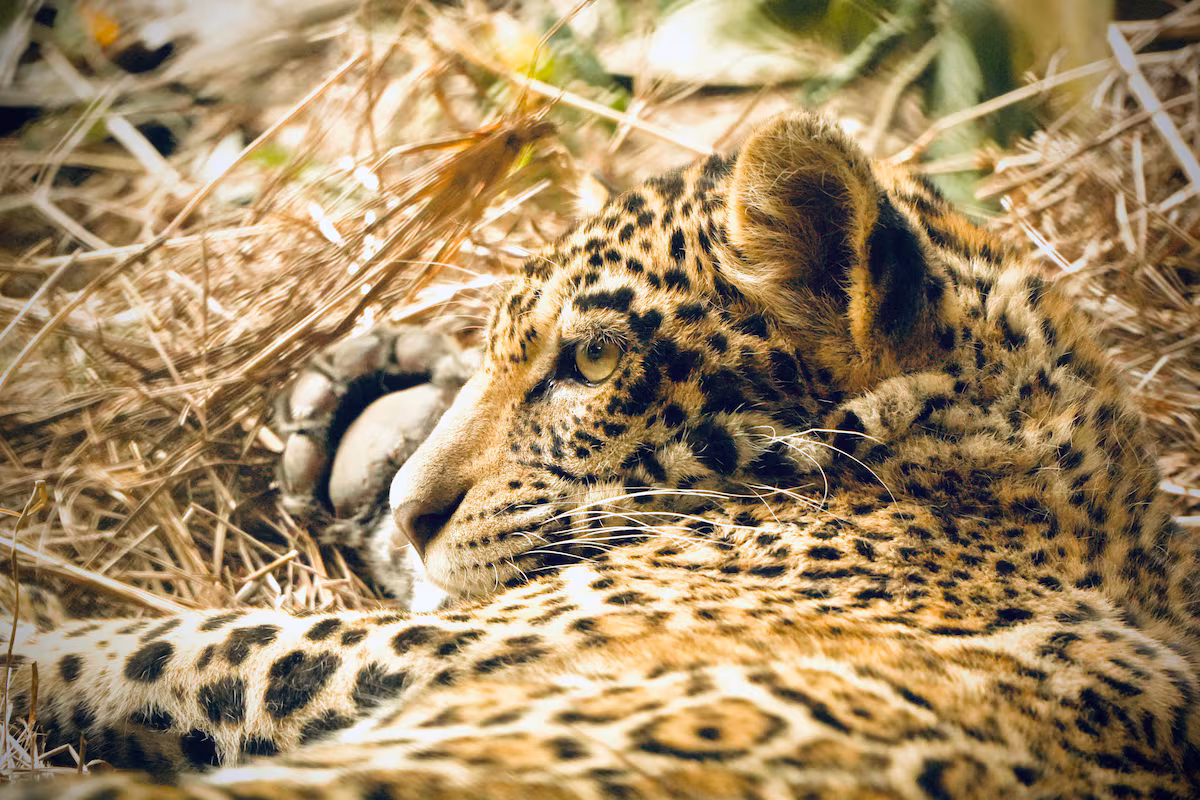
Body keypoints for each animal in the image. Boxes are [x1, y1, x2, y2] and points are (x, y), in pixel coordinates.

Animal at [2, 111, 1198, 799]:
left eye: (586, 360)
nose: (414, 507)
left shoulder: (445, 655)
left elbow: (177, 644)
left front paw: (32, 641)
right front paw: (380, 416)